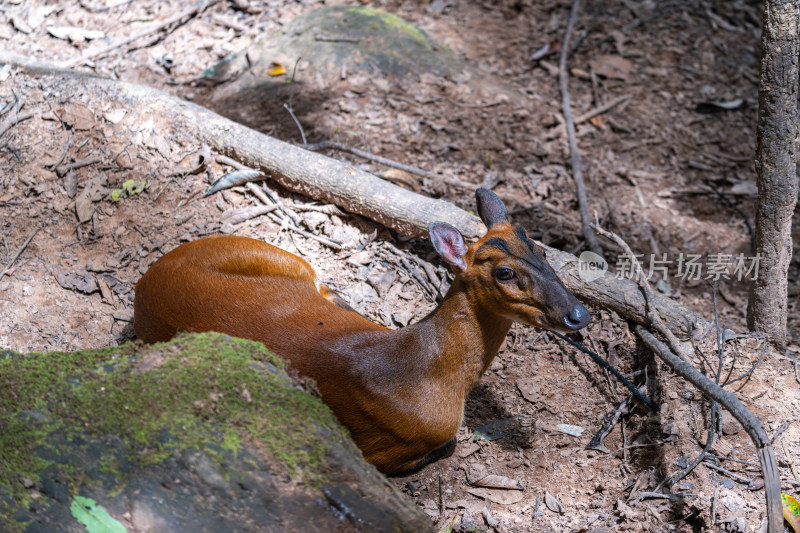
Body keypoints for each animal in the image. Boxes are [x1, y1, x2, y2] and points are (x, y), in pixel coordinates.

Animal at [136, 189, 588, 472]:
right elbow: (447, 444)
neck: (429, 369)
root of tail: (145, 282)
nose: (578, 315)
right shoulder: (384, 448)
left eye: (542, 250)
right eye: (504, 273)